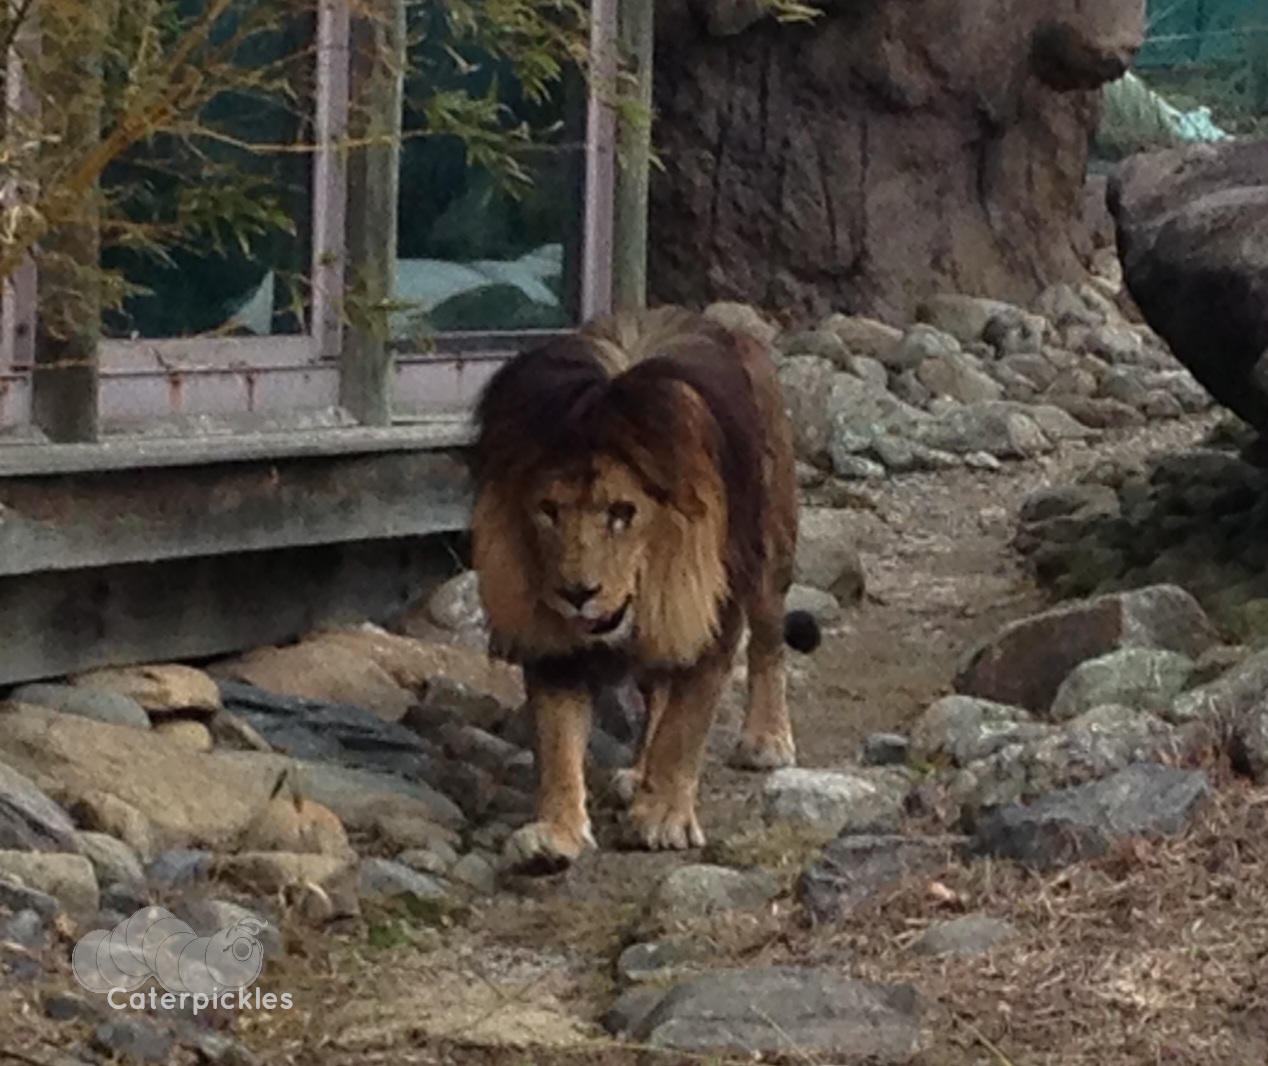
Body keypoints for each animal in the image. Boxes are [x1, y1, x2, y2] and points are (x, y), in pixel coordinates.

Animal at [469, 305, 821, 874]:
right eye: (548, 510)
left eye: (622, 512)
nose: (578, 593)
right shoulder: (552, 638)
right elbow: (558, 736)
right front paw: (556, 833)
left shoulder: (709, 611)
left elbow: (686, 722)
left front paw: (662, 818)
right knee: (656, 687)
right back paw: (638, 773)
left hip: (770, 554)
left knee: (768, 645)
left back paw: (765, 739)